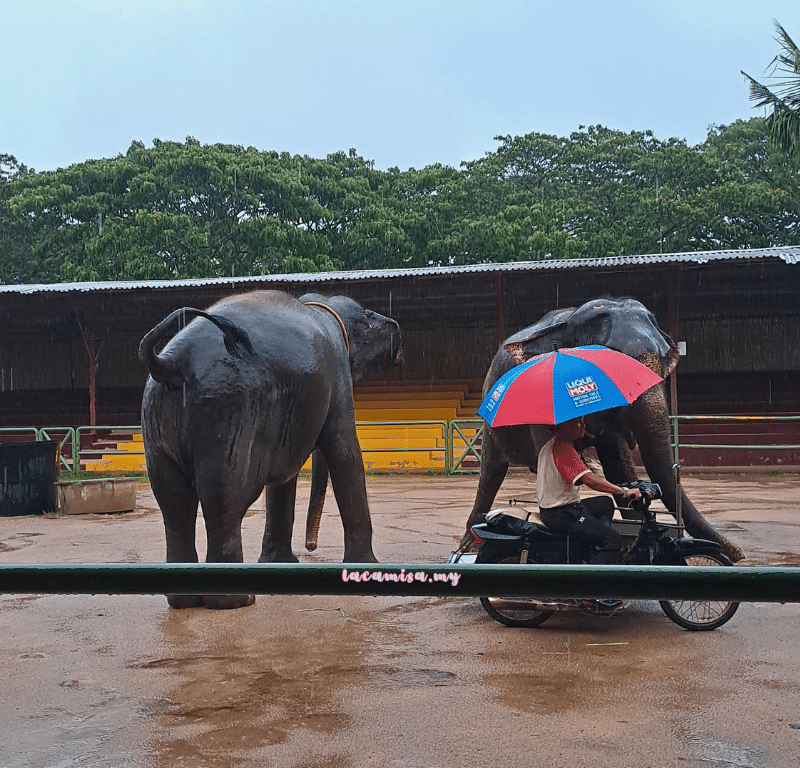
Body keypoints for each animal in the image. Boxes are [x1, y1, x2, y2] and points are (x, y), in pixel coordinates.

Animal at [140, 292, 404, 608]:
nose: (311, 546)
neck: (323, 305)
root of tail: (170, 362)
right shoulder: (338, 377)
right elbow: (344, 449)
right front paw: (366, 569)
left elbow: (284, 476)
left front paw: (281, 564)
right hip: (230, 408)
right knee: (225, 496)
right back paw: (237, 601)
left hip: (157, 417)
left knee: (174, 502)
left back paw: (184, 601)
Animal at [466, 296, 748, 560]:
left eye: (662, 362)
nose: (740, 555)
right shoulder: (540, 396)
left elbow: (617, 466)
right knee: (491, 473)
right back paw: (470, 543)